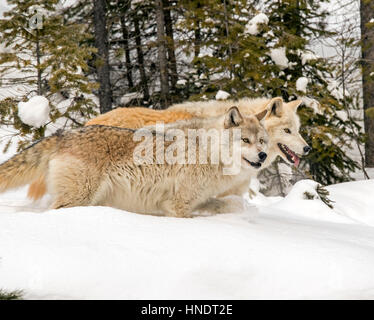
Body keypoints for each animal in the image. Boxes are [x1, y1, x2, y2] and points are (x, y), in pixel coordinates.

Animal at [0, 107, 268, 218]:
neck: (208, 151)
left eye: (262, 141)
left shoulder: (196, 199)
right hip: (79, 198)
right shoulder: (176, 205)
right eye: (245, 140)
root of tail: (64, 134)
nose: (263, 156)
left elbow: (226, 203)